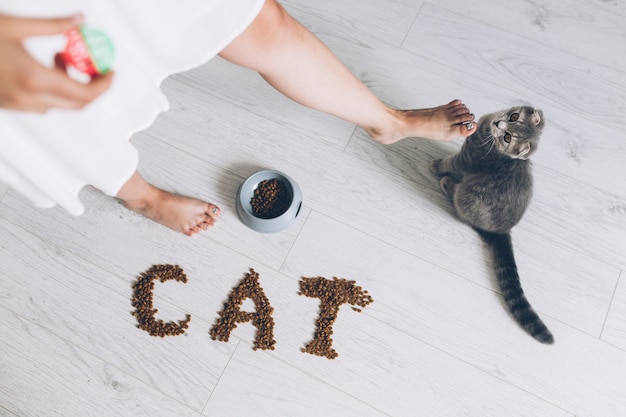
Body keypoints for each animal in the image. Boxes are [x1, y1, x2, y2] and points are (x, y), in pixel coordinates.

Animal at [428, 107, 552, 344]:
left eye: (508, 138)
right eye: (514, 117)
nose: (498, 124)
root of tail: (502, 230)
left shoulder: (467, 158)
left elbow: (450, 162)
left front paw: (436, 165)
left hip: (468, 197)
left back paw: (448, 184)